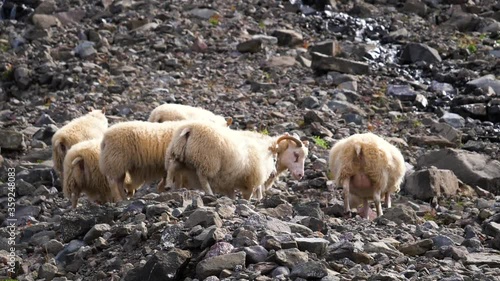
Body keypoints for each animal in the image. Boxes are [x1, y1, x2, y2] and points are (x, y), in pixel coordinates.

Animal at [162, 121, 306, 200]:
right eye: (296, 154)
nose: (300, 175)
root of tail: (189, 128)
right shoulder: (251, 181)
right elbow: (248, 197)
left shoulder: (230, 184)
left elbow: (232, 195)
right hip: (207, 160)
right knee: (202, 178)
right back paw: (209, 193)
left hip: (178, 154)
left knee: (172, 166)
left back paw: (168, 185)